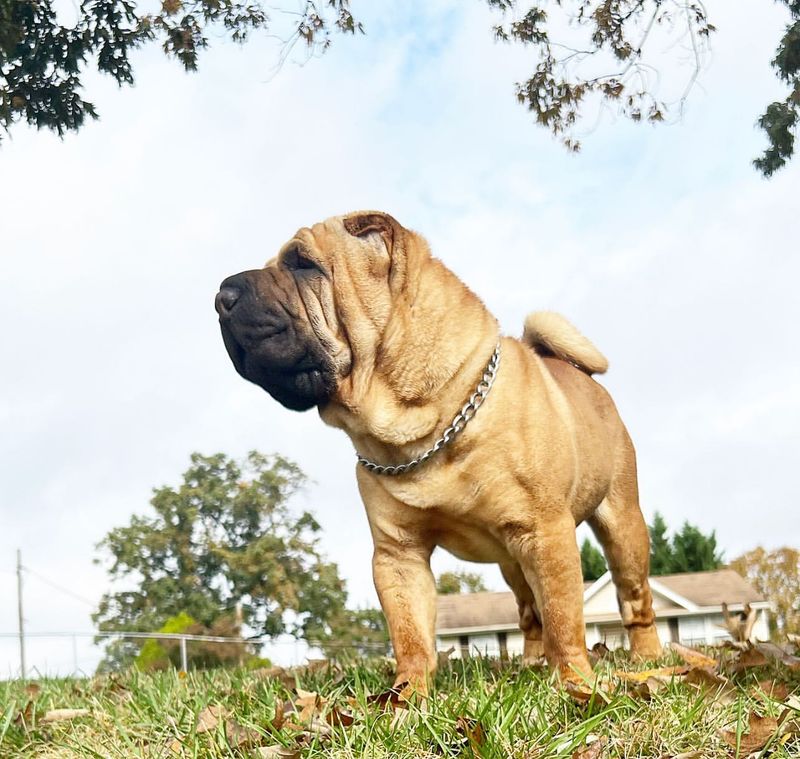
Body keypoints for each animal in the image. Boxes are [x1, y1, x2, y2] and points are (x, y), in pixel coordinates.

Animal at [214, 212, 664, 688]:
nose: (221, 296)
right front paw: (406, 694)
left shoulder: (545, 532)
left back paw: (647, 658)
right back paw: (528, 663)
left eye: (303, 264)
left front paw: (575, 683)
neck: (422, 425)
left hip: (622, 526)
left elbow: (564, 617)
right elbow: (409, 632)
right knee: (529, 613)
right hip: (511, 562)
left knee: (634, 598)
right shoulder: (398, 554)